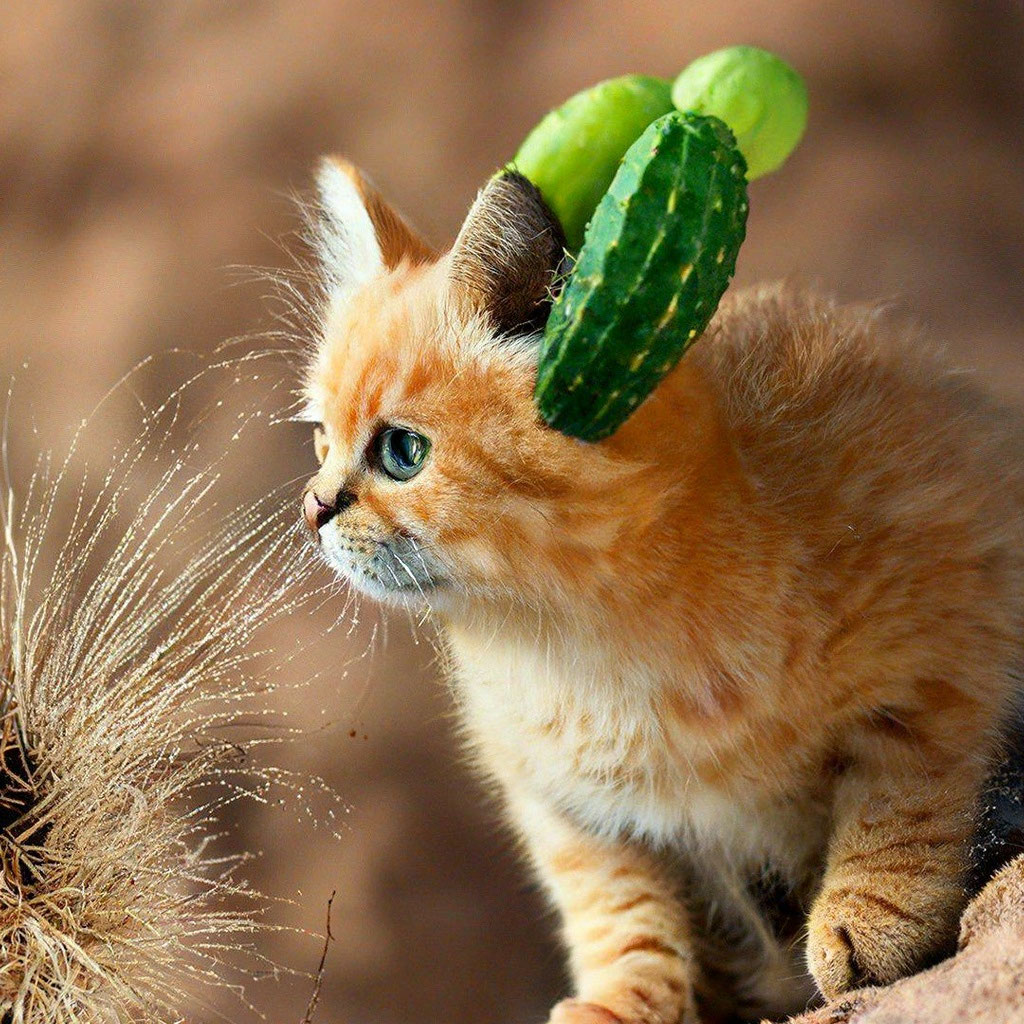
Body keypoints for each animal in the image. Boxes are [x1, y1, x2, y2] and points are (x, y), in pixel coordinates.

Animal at [296, 155, 1024, 1019]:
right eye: (320, 437)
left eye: (402, 452)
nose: (312, 508)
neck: (585, 643)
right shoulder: (553, 793)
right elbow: (616, 901)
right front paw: (621, 996)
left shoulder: (945, 612)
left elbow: (902, 794)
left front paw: (868, 916)